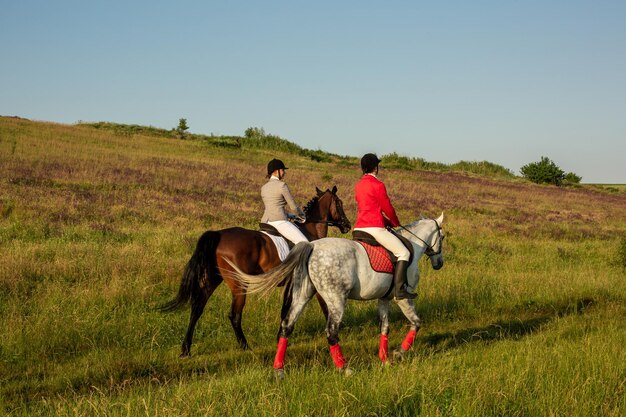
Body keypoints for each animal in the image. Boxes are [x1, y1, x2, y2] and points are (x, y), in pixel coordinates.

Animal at [160, 187, 352, 356]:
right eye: (340, 203)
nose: (347, 225)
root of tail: (219, 235)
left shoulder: (290, 283)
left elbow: (285, 309)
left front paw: (280, 336)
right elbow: (324, 306)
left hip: (213, 279)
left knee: (197, 308)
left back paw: (186, 349)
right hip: (239, 284)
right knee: (234, 315)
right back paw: (245, 346)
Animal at [229, 213, 444, 376]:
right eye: (442, 237)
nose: (439, 263)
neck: (413, 245)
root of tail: (312, 246)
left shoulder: (383, 299)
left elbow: (385, 328)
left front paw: (384, 360)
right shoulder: (404, 298)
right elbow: (416, 323)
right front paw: (399, 353)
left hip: (302, 294)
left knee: (287, 326)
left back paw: (279, 369)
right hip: (336, 300)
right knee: (331, 333)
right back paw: (344, 368)